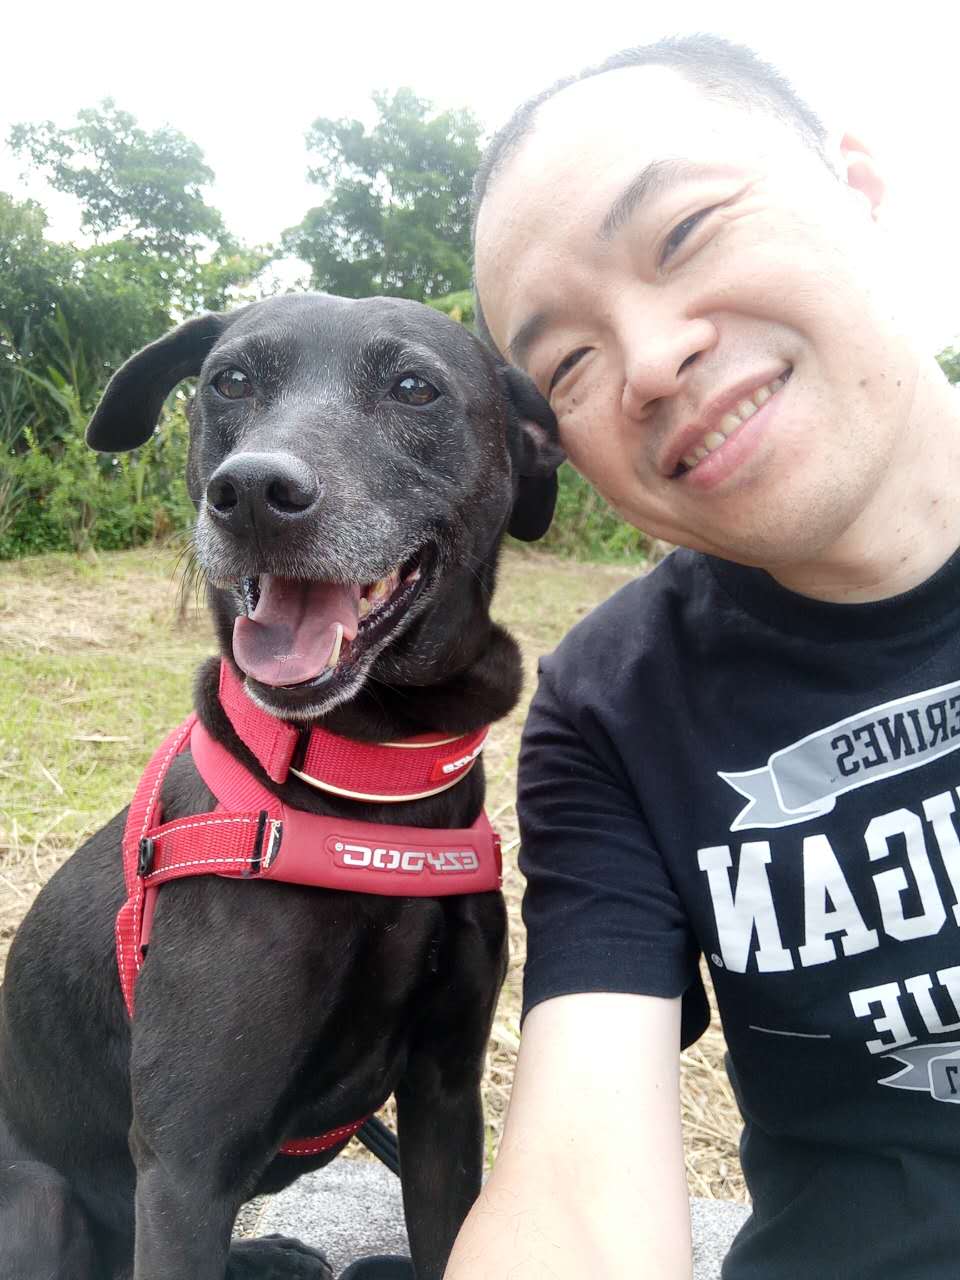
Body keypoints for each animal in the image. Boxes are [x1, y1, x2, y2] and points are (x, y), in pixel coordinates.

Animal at [0, 293, 563, 1280]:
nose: (254, 493)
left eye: (414, 387)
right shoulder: (185, 1167)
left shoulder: (445, 1098)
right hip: (37, 1199)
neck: (367, 781)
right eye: (229, 380)